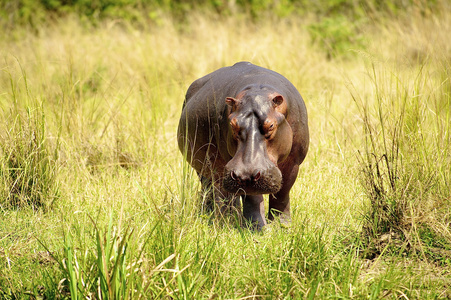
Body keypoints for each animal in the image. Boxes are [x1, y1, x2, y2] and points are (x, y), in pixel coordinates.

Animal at [178, 61, 308, 230]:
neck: (258, 89)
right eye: (232, 125)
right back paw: (217, 216)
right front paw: (257, 228)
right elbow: (252, 198)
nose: (246, 174)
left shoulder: (293, 163)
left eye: (271, 125)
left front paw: (283, 227)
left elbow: (282, 194)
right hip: (207, 168)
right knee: (212, 189)